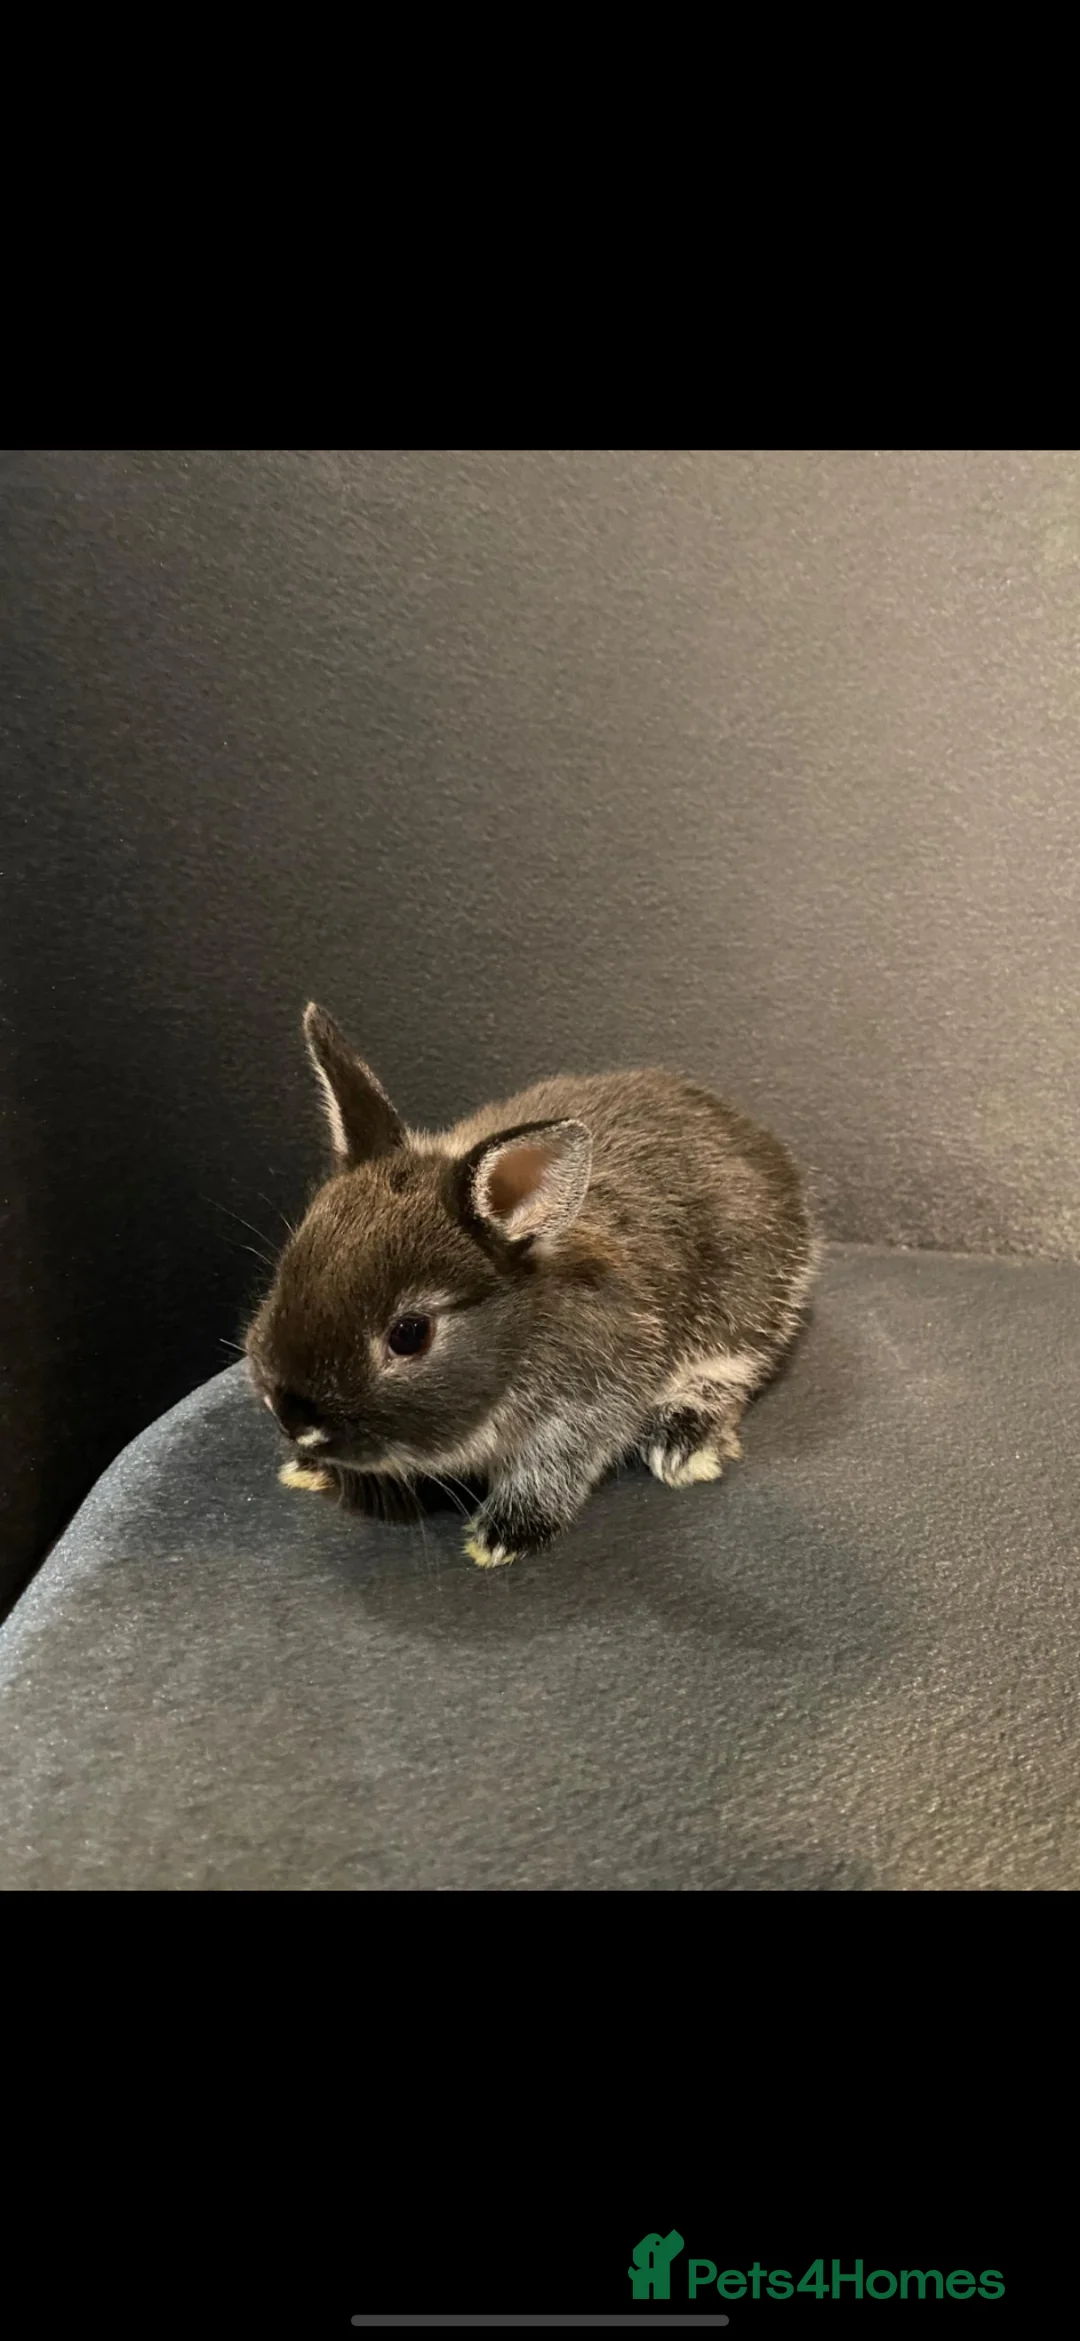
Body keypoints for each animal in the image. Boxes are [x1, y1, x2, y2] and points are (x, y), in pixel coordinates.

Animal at [244, 1003, 821, 1568]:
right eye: (288, 1270)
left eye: (409, 1334)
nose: (293, 1420)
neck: (522, 1328)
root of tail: (748, 1134)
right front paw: (311, 1468)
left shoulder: (587, 1402)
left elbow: (554, 1467)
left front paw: (504, 1535)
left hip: (746, 1305)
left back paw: (684, 1444)